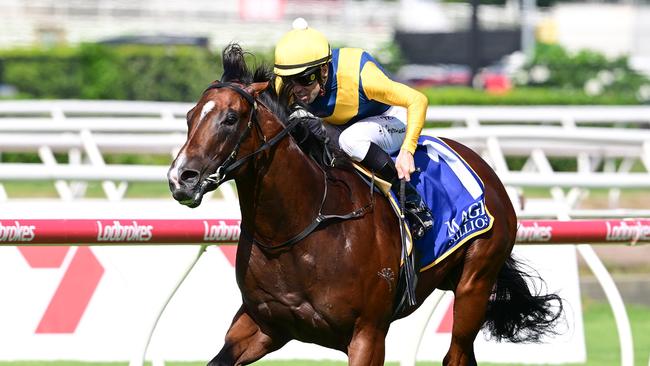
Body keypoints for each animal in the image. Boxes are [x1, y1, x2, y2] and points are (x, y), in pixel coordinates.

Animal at [170, 45, 560, 366]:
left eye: (230, 118)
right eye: (190, 116)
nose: (180, 178)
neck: (303, 227)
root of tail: (484, 168)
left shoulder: (367, 335)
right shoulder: (263, 325)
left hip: (474, 284)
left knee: (457, 354)